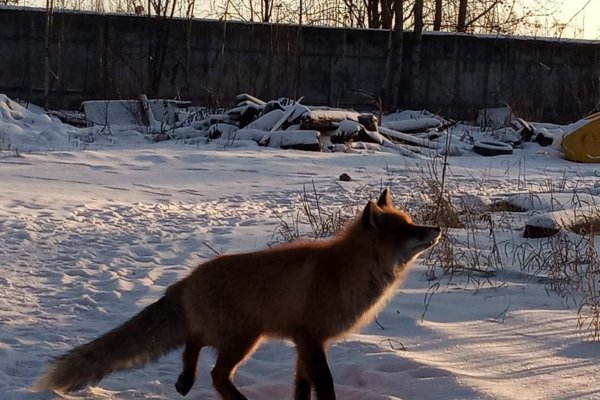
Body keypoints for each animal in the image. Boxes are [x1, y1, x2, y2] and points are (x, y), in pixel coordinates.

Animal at [31, 190, 440, 400]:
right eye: (407, 230)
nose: (436, 229)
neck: (345, 271)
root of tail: (187, 279)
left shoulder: (302, 341)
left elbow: (302, 386)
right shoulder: (311, 337)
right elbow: (323, 384)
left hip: (236, 335)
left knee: (194, 343)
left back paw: (185, 380)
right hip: (246, 338)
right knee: (214, 372)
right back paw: (231, 399)